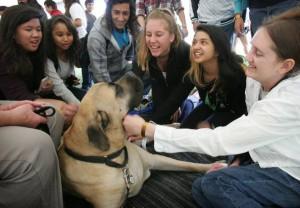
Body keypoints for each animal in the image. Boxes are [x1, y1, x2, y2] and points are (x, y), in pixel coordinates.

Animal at [58, 73, 212, 208]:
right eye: (116, 88)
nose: (132, 72)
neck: (113, 158)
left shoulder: (155, 159)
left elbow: (188, 164)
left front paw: (211, 166)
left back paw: (175, 125)